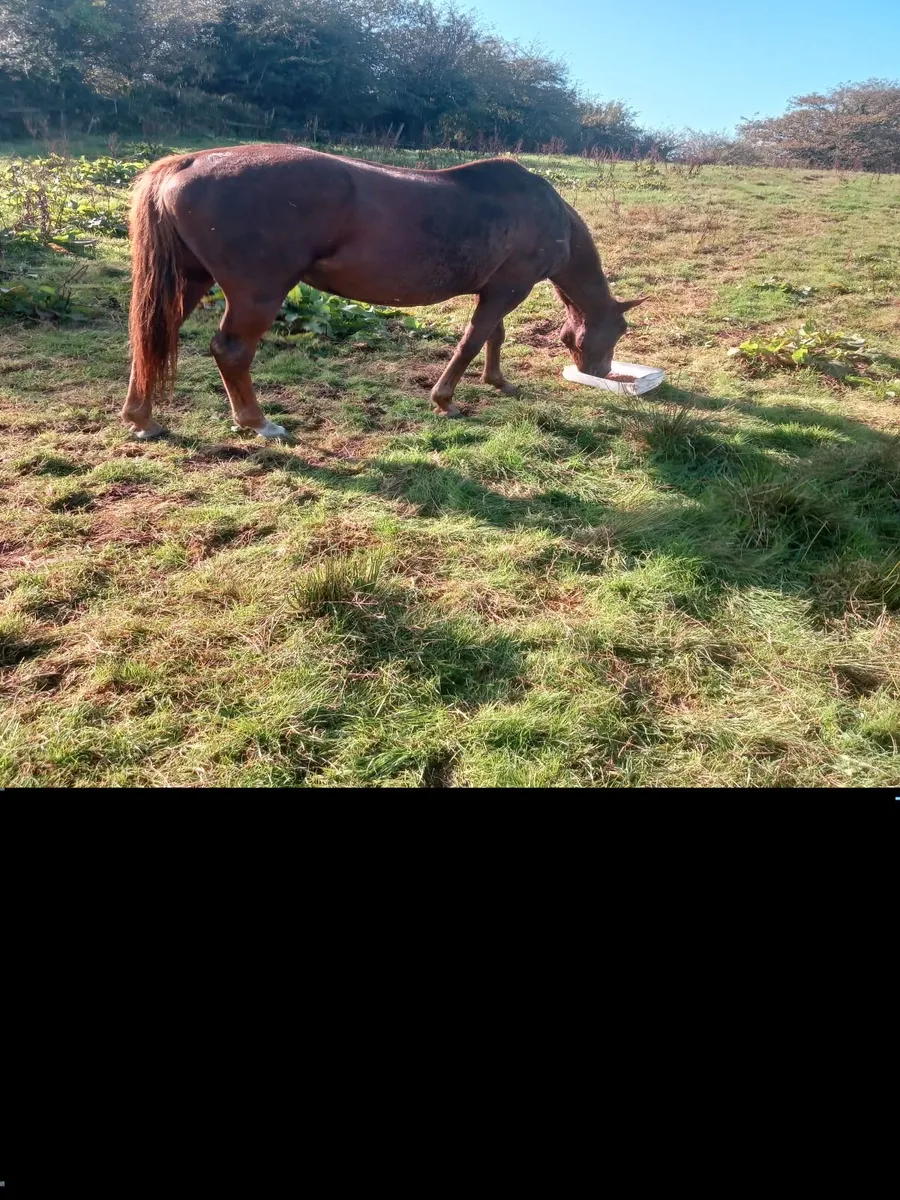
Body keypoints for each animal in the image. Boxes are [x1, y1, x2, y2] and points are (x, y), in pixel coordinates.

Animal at [125, 145, 646, 439]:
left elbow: (493, 337)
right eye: (618, 330)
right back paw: (257, 422)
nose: (600, 372)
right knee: (231, 351)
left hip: (189, 281)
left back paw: (143, 419)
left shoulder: (496, 290)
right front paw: (446, 399)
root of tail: (187, 162)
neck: (547, 214)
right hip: (258, 293)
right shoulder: (509, 288)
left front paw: (497, 381)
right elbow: (473, 340)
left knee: (152, 338)